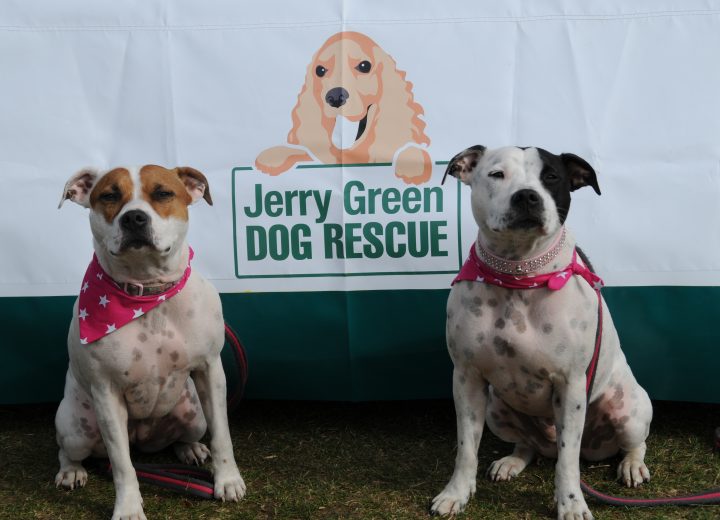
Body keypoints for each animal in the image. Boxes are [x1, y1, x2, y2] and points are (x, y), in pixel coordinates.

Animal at [55, 167, 245, 520]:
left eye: (163, 193)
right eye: (110, 195)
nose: (134, 218)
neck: (148, 293)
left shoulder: (210, 370)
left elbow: (222, 435)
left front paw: (227, 480)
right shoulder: (107, 392)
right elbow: (121, 464)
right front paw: (128, 507)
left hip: (193, 415)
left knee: (187, 435)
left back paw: (191, 449)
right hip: (76, 429)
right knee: (68, 449)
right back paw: (71, 471)